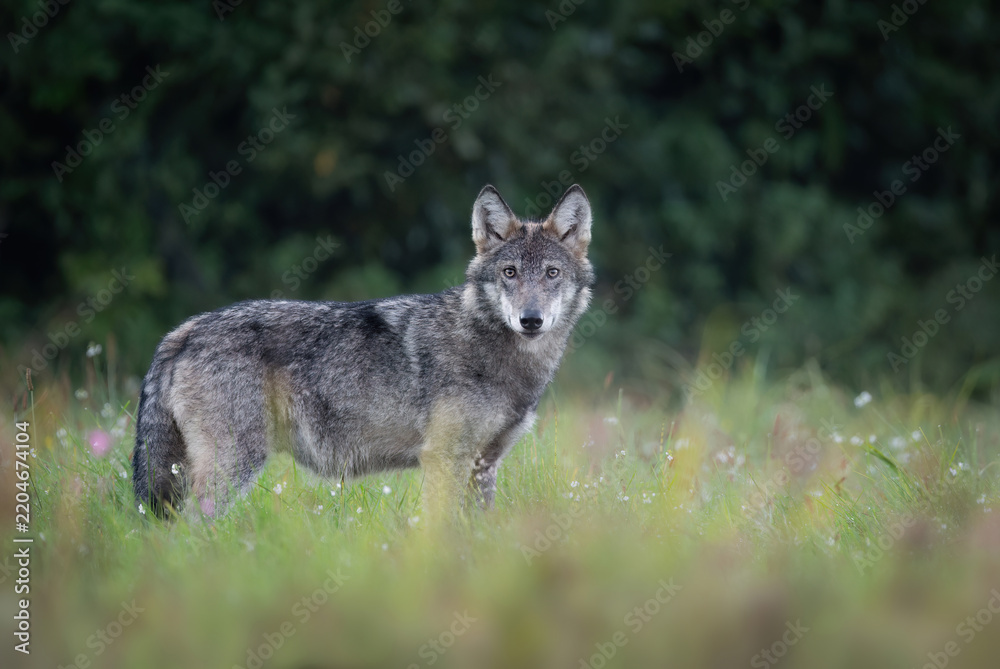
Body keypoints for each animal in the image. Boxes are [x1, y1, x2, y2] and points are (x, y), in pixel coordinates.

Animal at [132, 184, 594, 518]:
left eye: (551, 273)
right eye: (510, 273)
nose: (530, 320)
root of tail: (185, 330)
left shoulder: (484, 465)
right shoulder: (443, 459)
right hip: (234, 465)